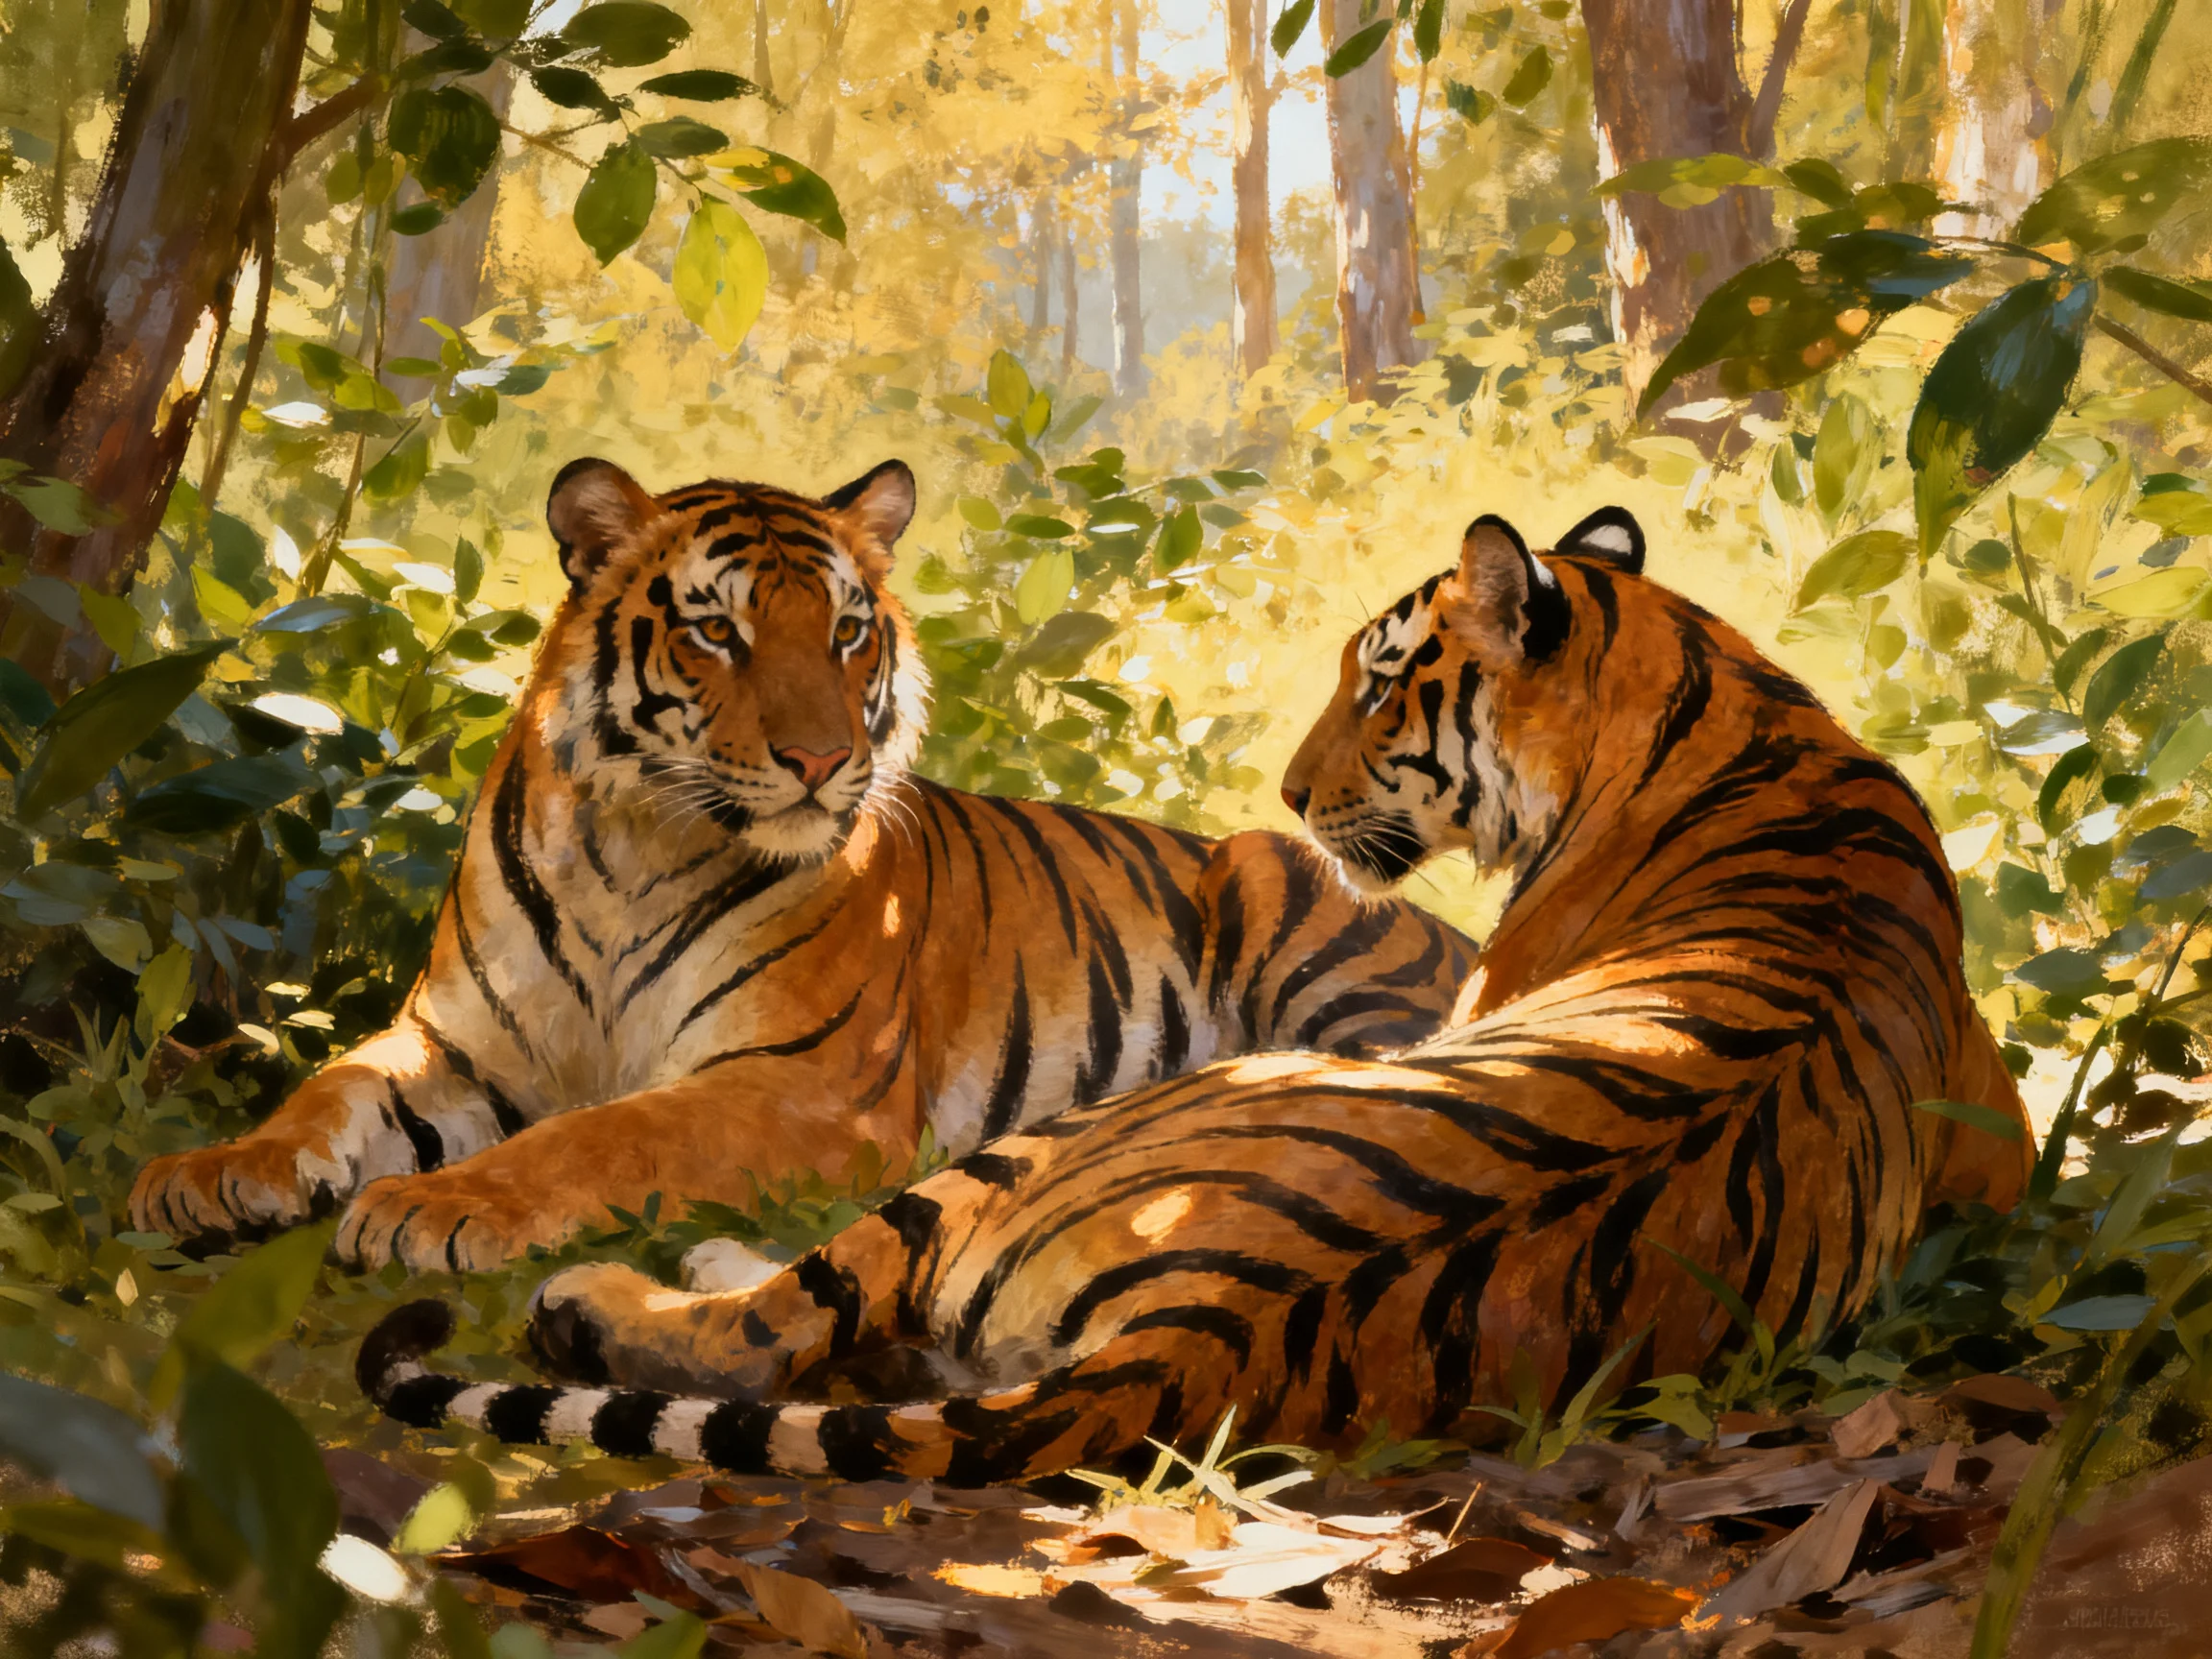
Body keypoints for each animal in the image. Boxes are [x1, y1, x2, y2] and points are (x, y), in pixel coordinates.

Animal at [130, 458, 1478, 1272]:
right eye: (717, 631)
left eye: (845, 632)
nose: (826, 759)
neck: (633, 844)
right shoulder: (451, 1043)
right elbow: (325, 1091)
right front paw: (208, 1175)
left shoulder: (794, 1081)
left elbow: (607, 1137)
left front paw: (442, 1206)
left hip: (1279, 881)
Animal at [360, 503, 2031, 1483]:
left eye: (1380, 682)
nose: (1287, 793)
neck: (1727, 701)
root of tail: (1206, 1324)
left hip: (1084, 1125)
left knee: (781, 1319)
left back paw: (632, 1285)